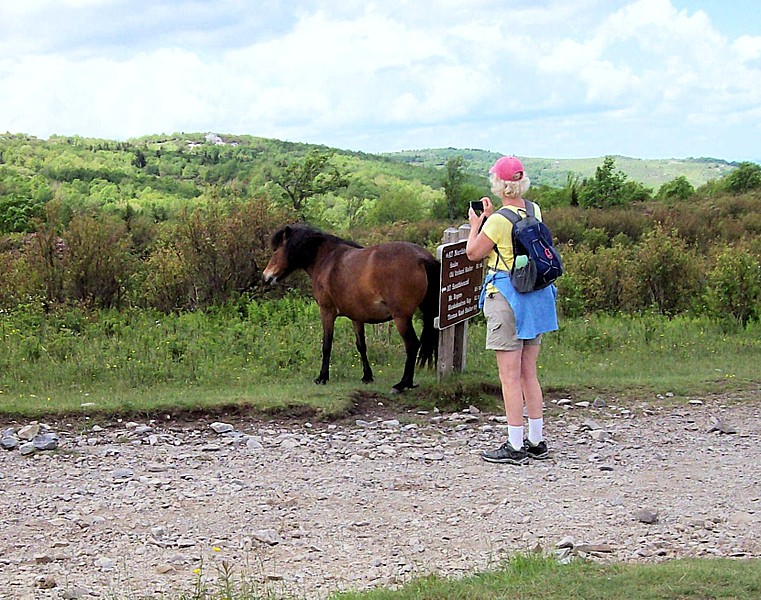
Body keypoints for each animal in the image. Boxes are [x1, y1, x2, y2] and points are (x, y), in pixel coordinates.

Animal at [264, 225, 440, 394]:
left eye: (276, 249)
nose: (266, 277)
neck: (327, 260)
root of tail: (422, 258)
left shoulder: (327, 312)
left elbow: (327, 345)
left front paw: (322, 377)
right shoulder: (357, 317)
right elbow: (361, 345)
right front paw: (367, 376)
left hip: (401, 318)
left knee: (412, 344)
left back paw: (402, 384)